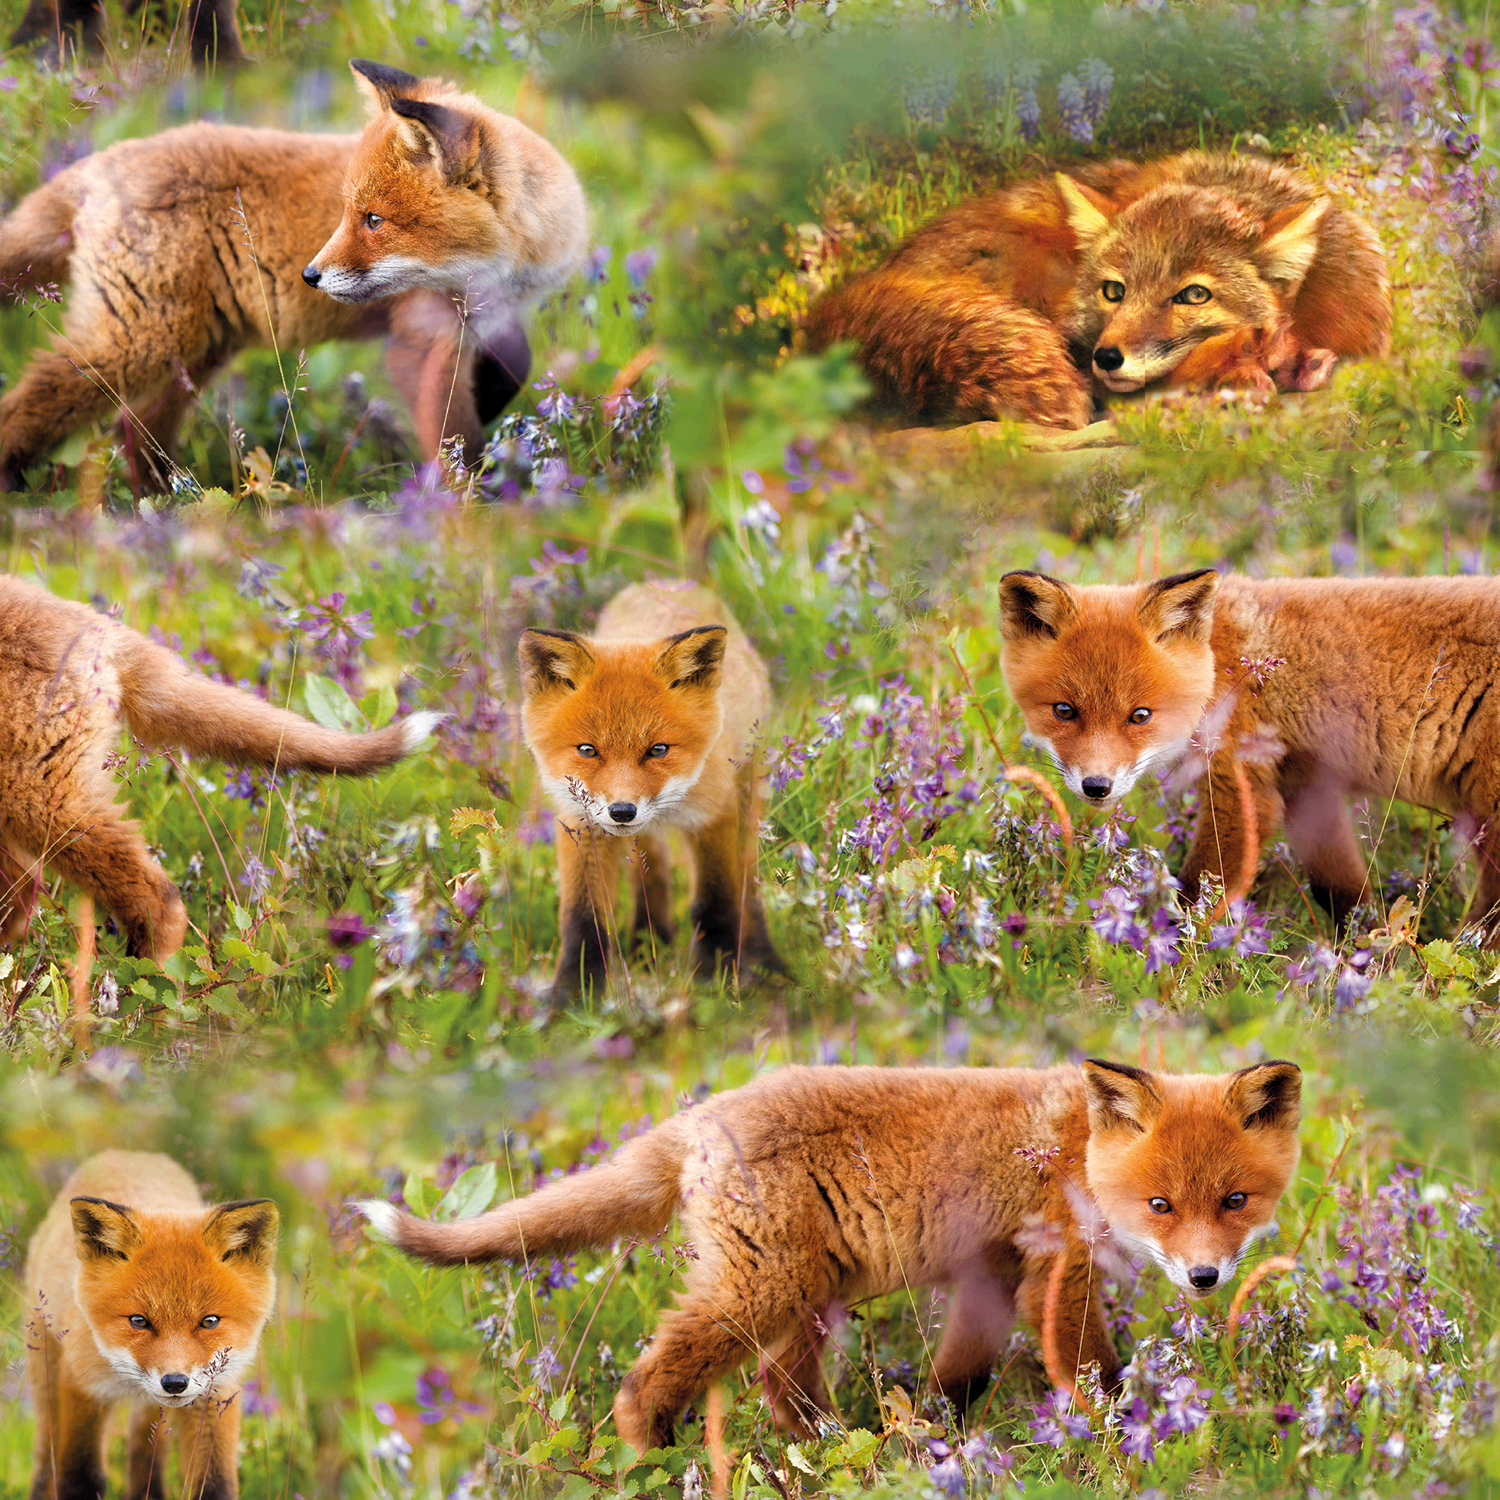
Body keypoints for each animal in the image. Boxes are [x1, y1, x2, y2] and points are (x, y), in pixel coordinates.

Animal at [0, 59, 585, 493]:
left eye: (373, 220)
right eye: (349, 214)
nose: (310, 274)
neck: (511, 263)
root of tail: (99, 163)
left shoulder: (493, 319)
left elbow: (516, 369)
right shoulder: (421, 343)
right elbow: (452, 436)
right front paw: (471, 509)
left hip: (196, 352)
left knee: (133, 429)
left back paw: (166, 504)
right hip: (137, 346)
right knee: (29, 408)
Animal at [25, 1149, 278, 1500]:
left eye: (209, 1321)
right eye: (138, 1321)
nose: (174, 1383)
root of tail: (129, 1154)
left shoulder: (215, 1394)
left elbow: (214, 1485)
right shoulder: (83, 1385)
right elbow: (80, 1477)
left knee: (144, 1453)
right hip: (47, 1376)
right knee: (44, 1460)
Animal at [359, 1058, 1302, 1453]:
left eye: (1234, 1203)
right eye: (1160, 1206)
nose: (1207, 1278)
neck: (1076, 1151)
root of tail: (695, 1120)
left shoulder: (994, 1274)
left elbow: (958, 1377)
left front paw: (928, 1441)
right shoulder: (1055, 1275)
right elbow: (1094, 1373)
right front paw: (1125, 1432)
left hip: (811, 1298)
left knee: (781, 1390)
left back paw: (827, 1443)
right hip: (763, 1292)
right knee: (651, 1378)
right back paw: (652, 1457)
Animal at [519, 580, 783, 999]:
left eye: (658, 750)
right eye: (587, 750)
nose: (622, 811)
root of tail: (667, 582)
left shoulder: (713, 814)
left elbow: (716, 903)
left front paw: (718, 982)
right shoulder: (581, 822)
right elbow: (582, 920)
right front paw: (572, 995)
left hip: (746, 796)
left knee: (748, 883)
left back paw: (764, 959)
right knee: (652, 876)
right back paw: (649, 945)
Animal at [999, 567, 1500, 942]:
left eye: (1139, 716)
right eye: (1065, 711)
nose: (1096, 787)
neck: (1222, 668)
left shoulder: (1241, 795)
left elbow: (1195, 895)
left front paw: (1164, 961)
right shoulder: (1305, 789)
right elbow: (1345, 895)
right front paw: (1374, 964)